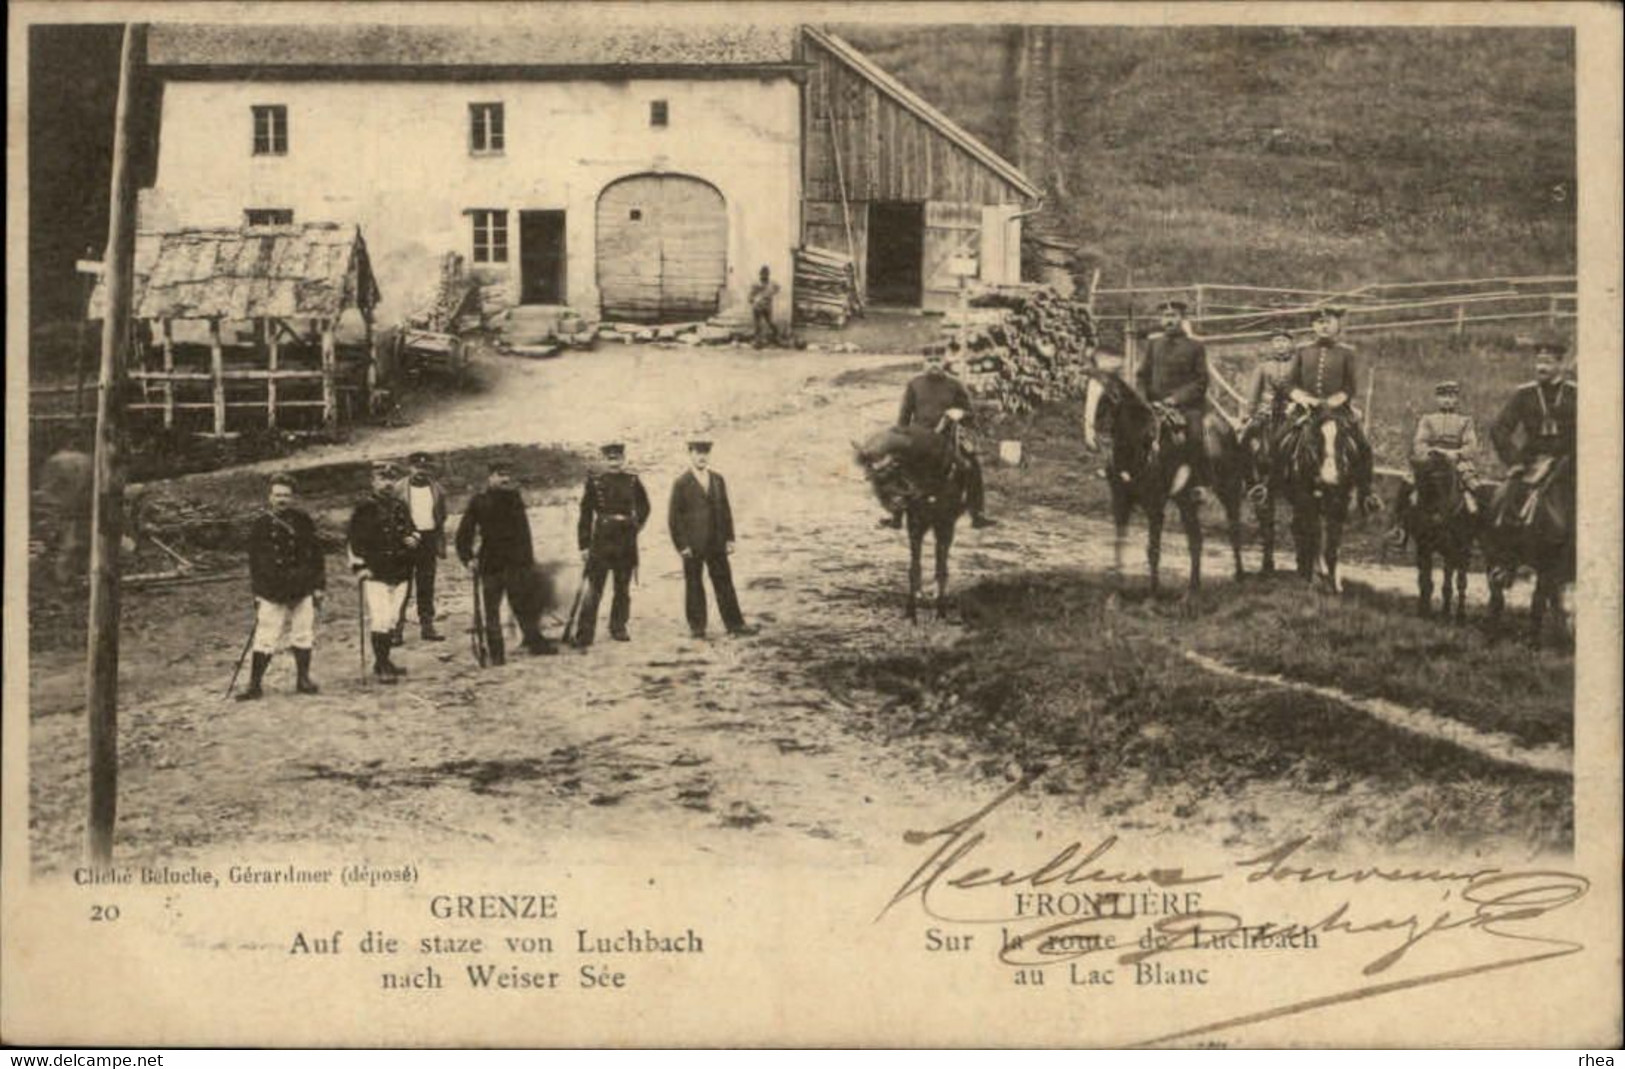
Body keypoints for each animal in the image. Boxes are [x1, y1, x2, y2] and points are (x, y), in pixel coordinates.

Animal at [851, 415, 962, 617]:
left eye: (892, 476)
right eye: (877, 482)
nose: (898, 503)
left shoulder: (946, 523)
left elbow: (941, 559)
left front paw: (938, 596)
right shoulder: (915, 523)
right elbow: (916, 559)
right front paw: (917, 594)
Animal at [1085, 368, 1248, 594]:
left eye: (1105, 399)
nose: (1090, 440)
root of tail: (1227, 427)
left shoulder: (1155, 506)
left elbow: (1153, 550)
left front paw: (1153, 592)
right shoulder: (1120, 502)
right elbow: (1119, 542)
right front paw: (1117, 589)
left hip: (1229, 490)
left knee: (1234, 529)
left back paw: (1239, 575)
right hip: (1185, 500)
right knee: (1196, 539)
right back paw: (1193, 587)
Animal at [1274, 406, 1365, 591]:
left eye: (1342, 438)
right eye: (1316, 438)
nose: (1330, 479)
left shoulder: (1340, 504)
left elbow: (1333, 542)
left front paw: (1334, 581)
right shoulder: (1307, 500)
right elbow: (1315, 536)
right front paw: (1317, 578)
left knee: (1299, 528)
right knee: (1300, 529)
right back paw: (1305, 570)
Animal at [1391, 454, 1488, 620]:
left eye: (1449, 482)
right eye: (1424, 483)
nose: (1434, 519)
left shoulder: (1453, 550)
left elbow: (1451, 584)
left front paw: (1449, 614)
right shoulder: (1425, 547)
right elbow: (1426, 582)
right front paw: (1424, 611)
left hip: (1461, 552)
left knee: (1461, 581)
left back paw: (1459, 613)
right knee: (1424, 576)